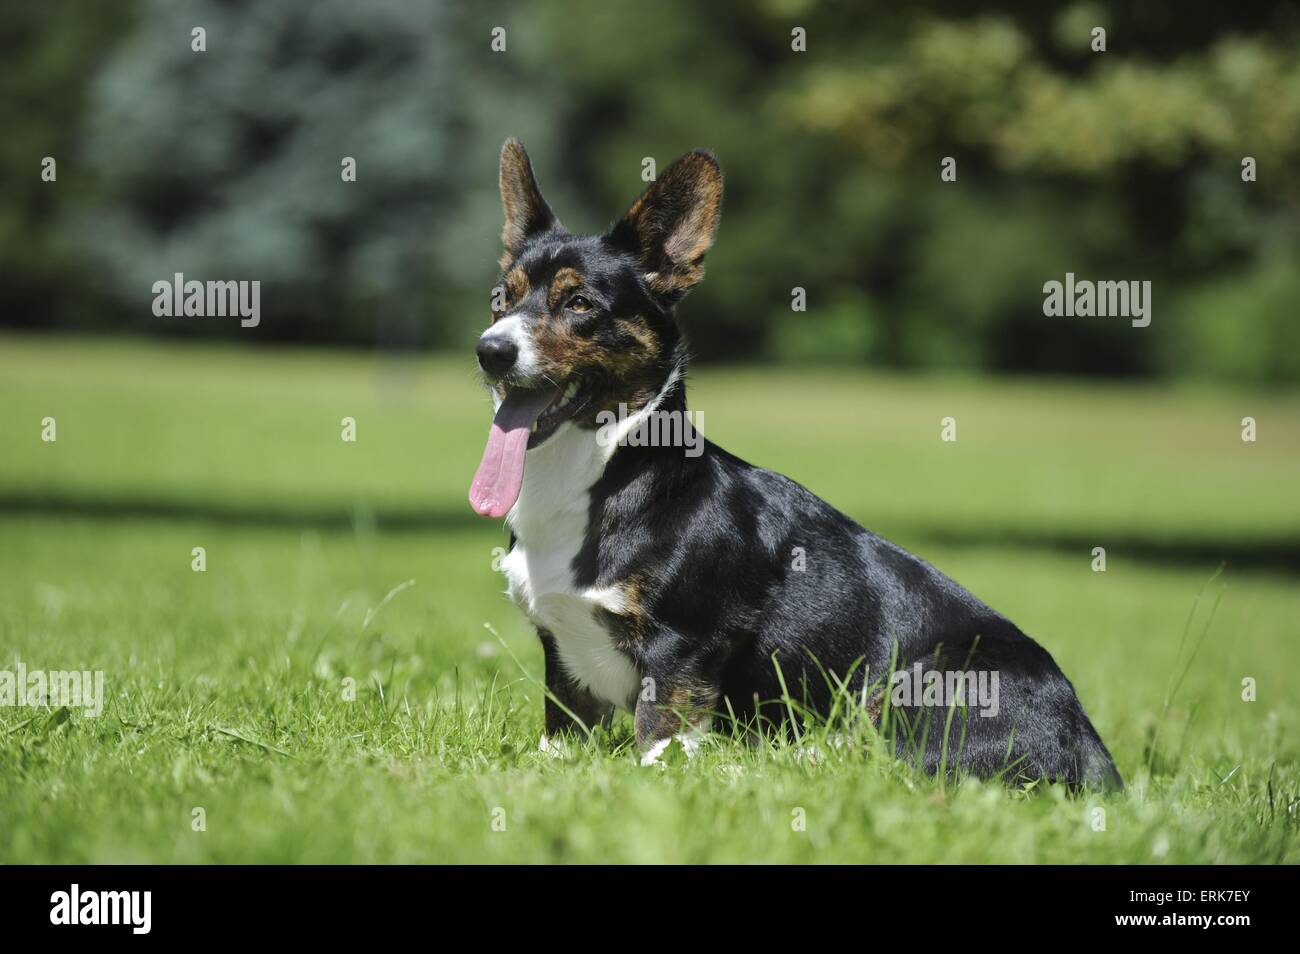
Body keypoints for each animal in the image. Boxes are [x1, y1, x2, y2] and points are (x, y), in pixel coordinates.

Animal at [473, 138, 1123, 790]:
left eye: (579, 303)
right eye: (501, 299)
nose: (489, 351)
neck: (597, 475)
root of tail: (1087, 738)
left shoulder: (681, 647)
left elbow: (658, 736)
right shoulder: (562, 652)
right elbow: (561, 728)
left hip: (924, 684)